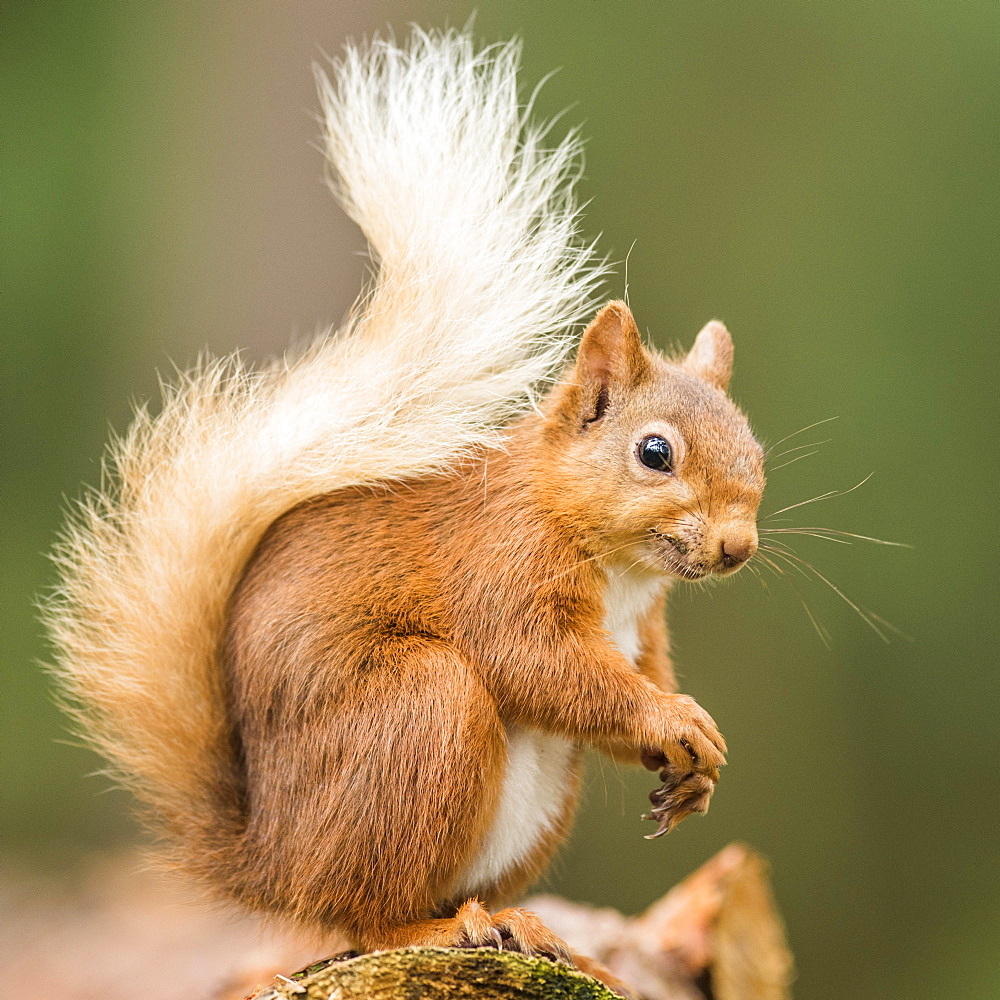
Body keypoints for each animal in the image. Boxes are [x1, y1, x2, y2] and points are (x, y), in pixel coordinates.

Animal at [45, 29, 764, 984]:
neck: (616, 563)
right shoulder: (502, 564)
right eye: (656, 453)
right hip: (420, 713)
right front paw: (672, 720)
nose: (737, 547)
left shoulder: (640, 630)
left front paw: (696, 761)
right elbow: (537, 662)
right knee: (366, 916)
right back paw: (438, 929)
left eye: (755, 448)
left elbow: (632, 676)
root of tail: (270, 862)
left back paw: (534, 930)